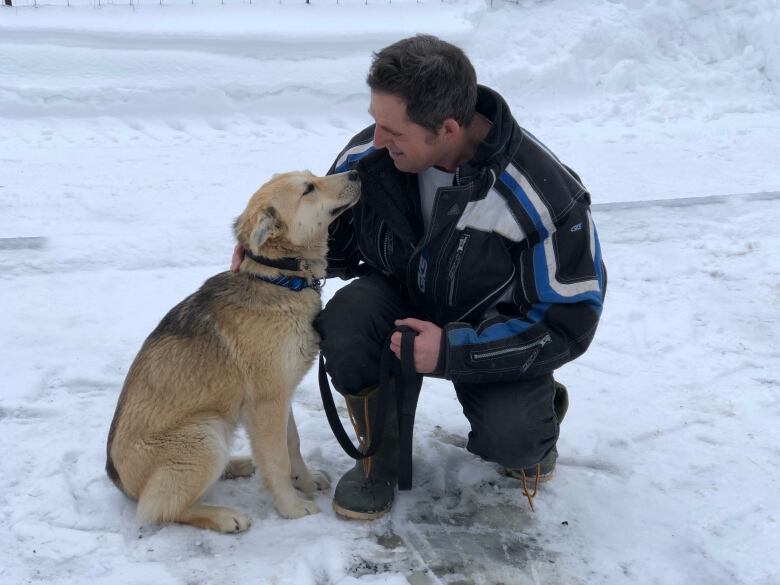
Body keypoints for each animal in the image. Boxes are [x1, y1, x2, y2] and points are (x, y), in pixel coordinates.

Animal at [106, 170, 362, 532]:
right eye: (309, 189)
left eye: (313, 176)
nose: (355, 172)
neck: (281, 279)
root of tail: (119, 480)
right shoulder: (267, 403)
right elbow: (277, 461)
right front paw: (291, 507)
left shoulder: (281, 396)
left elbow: (292, 445)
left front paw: (305, 481)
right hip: (204, 435)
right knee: (159, 509)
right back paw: (224, 516)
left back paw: (237, 465)